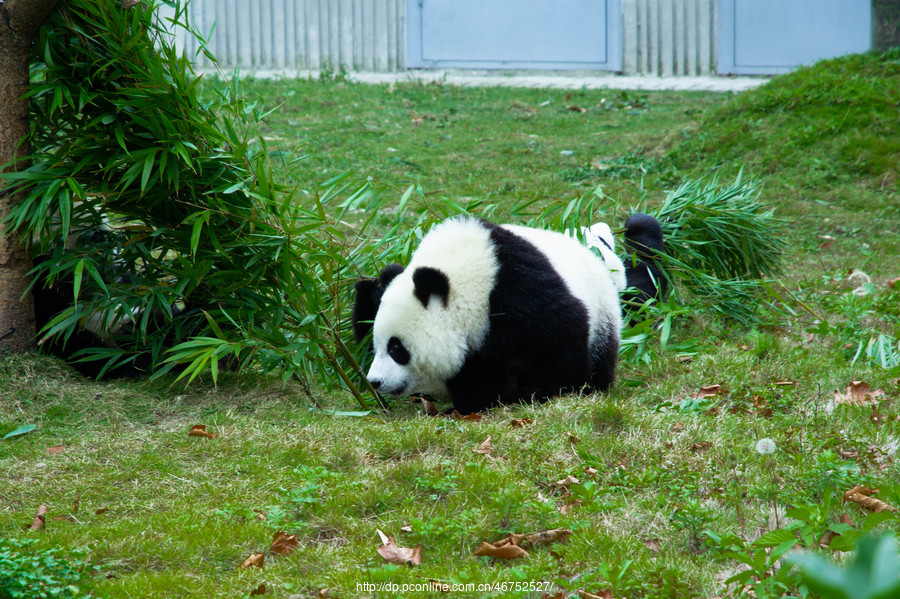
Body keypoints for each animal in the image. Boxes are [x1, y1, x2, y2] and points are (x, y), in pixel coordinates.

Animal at [356, 216, 664, 418]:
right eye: (376, 346)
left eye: (396, 348)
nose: (375, 381)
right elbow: (473, 372)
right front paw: (471, 403)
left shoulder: (514, 288)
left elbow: (561, 330)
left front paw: (563, 391)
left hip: (603, 312)